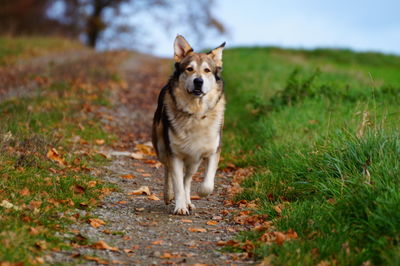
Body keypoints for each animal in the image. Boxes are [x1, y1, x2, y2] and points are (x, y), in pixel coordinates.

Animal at [152, 35, 225, 215]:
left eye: (207, 70)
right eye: (189, 69)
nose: (198, 81)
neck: (196, 113)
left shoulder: (213, 151)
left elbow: (207, 184)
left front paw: (199, 193)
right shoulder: (174, 154)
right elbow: (177, 183)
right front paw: (179, 206)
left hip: (194, 160)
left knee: (187, 178)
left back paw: (188, 201)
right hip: (162, 148)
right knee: (168, 170)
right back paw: (168, 195)